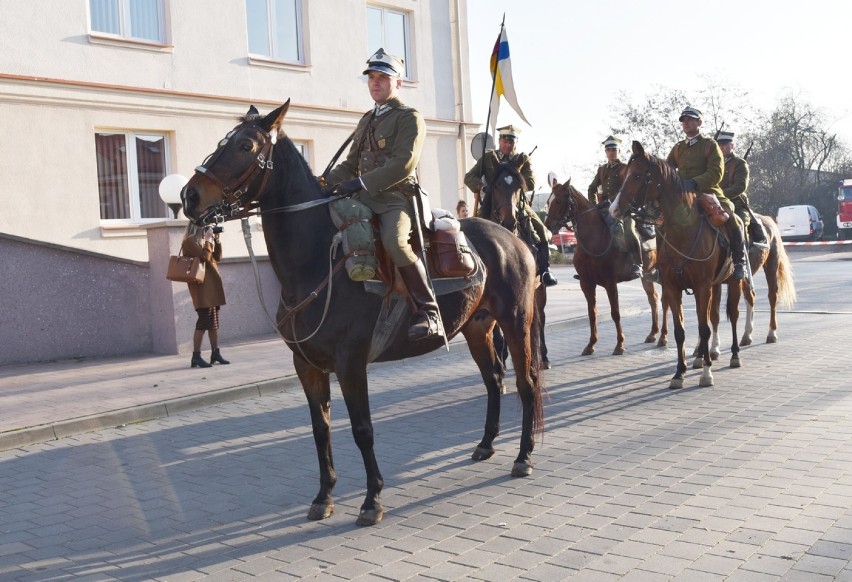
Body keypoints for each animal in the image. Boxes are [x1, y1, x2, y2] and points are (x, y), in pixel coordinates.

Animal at [180, 102, 544, 528]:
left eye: (245, 145)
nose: (189, 195)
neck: (315, 262)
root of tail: (512, 238)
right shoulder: (307, 366)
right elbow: (320, 429)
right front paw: (323, 496)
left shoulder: (351, 364)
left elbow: (362, 429)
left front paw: (372, 500)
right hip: (477, 329)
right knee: (494, 380)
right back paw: (486, 444)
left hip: (516, 322)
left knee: (526, 382)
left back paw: (524, 455)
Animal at [544, 176, 668, 356]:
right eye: (549, 201)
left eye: (559, 201)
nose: (547, 226)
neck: (595, 240)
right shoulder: (586, 284)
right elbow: (592, 314)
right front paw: (590, 345)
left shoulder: (610, 283)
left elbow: (615, 313)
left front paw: (620, 344)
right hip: (647, 276)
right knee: (653, 299)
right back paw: (653, 333)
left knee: (666, 301)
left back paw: (663, 337)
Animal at [608, 139, 744, 390]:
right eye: (625, 175)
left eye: (638, 175)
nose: (613, 209)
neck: (683, 230)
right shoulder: (672, 287)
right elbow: (680, 330)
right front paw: (679, 372)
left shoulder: (701, 286)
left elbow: (703, 328)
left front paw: (707, 374)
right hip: (714, 285)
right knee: (712, 316)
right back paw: (700, 356)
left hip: (734, 282)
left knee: (733, 314)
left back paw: (734, 354)